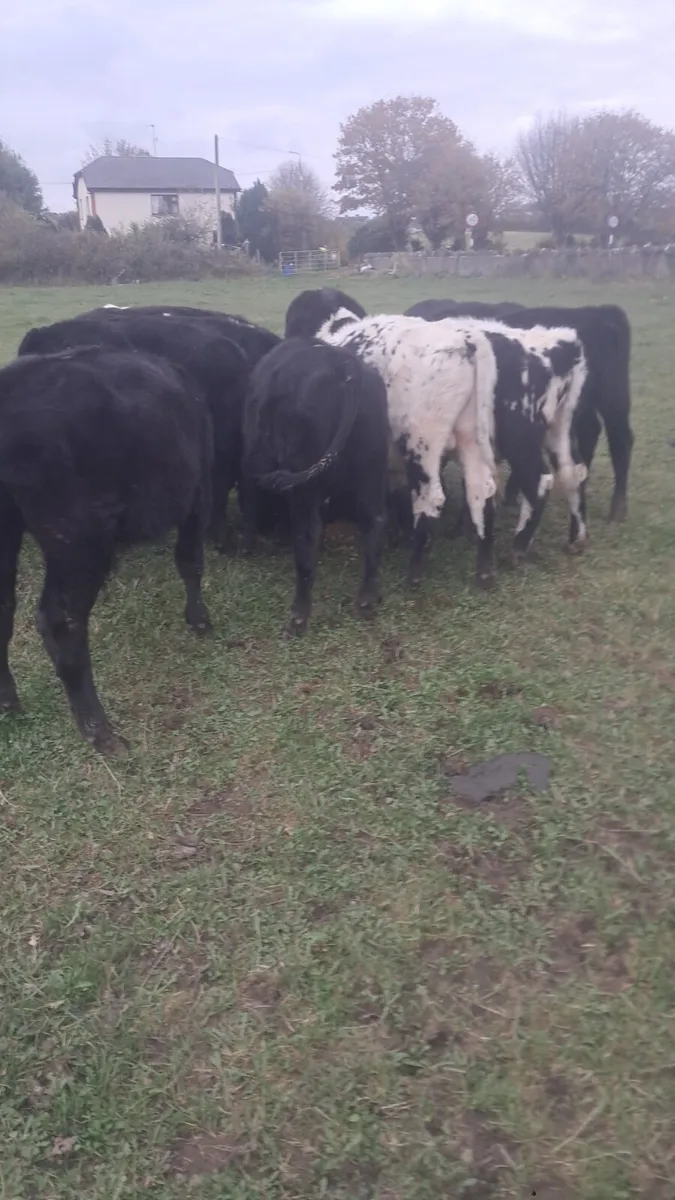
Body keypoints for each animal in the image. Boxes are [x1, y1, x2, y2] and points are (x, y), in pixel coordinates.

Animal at [0, 347, 212, 756]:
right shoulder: (198, 489)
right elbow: (190, 558)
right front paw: (200, 619)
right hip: (80, 537)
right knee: (62, 621)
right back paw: (100, 731)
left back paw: (7, 701)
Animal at [243, 338, 389, 634]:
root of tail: (344, 364)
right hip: (372, 471)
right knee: (375, 522)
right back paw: (367, 600)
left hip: (305, 489)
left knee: (307, 534)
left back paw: (299, 616)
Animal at [405, 298, 633, 524]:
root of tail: (597, 312)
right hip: (599, 404)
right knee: (598, 435)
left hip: (608, 402)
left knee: (619, 440)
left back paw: (616, 508)